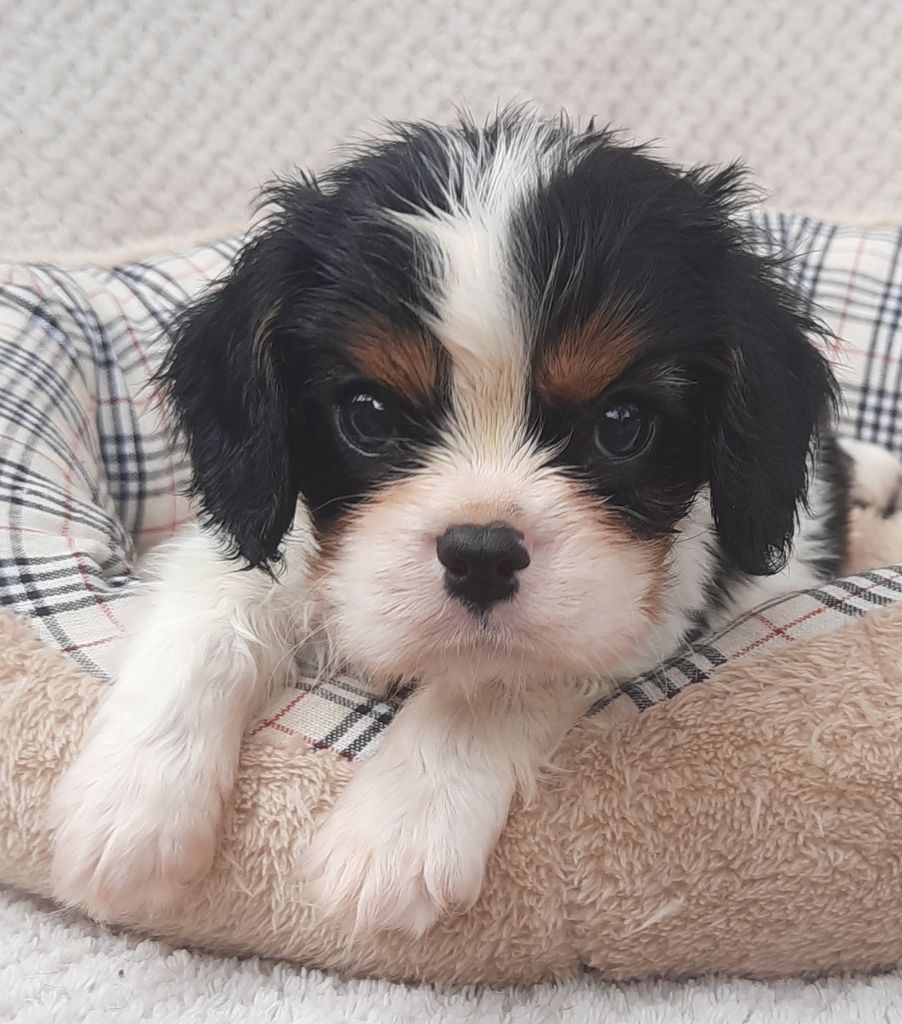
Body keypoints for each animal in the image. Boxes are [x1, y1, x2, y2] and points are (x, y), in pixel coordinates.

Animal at [48, 111, 895, 937]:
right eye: (368, 415)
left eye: (622, 425)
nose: (482, 555)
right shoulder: (263, 543)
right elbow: (211, 618)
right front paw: (129, 812)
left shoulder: (641, 601)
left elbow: (500, 680)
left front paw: (395, 836)